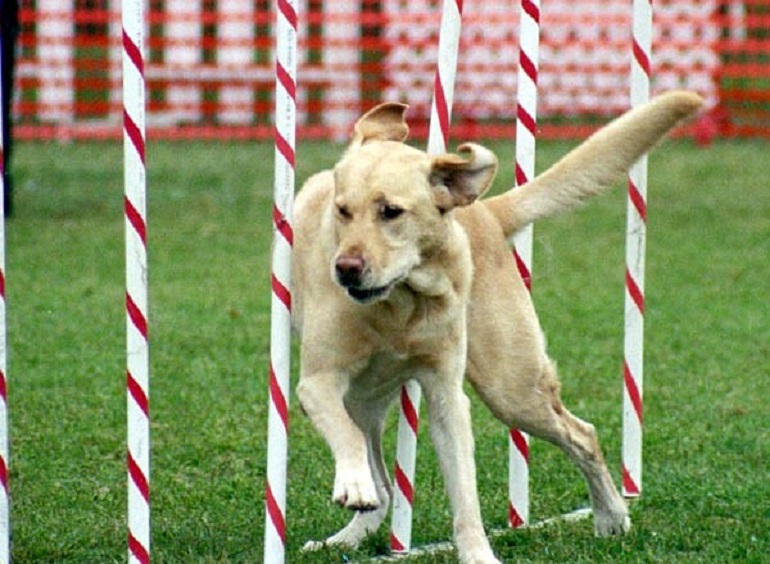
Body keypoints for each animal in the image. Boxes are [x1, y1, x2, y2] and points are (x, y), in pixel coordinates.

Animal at [292, 90, 700, 560]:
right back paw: (346, 534)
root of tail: (483, 210)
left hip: (511, 389)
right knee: (382, 481)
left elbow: (465, 495)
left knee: (582, 434)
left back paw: (611, 515)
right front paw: (353, 482)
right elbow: (346, 437)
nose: (345, 269)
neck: (402, 301)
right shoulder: (318, 382)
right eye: (342, 211)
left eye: (391, 211)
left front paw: (478, 554)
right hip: (366, 398)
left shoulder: (448, 399)